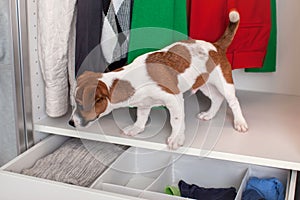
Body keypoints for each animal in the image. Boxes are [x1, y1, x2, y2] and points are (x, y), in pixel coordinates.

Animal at [69, 10, 247, 148]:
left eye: (81, 105)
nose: (70, 123)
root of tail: (216, 46)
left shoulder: (175, 99)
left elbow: (176, 121)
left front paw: (176, 138)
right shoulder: (144, 104)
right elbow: (141, 118)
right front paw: (136, 128)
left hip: (224, 84)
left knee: (233, 101)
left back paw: (239, 122)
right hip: (204, 85)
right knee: (217, 99)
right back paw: (209, 115)